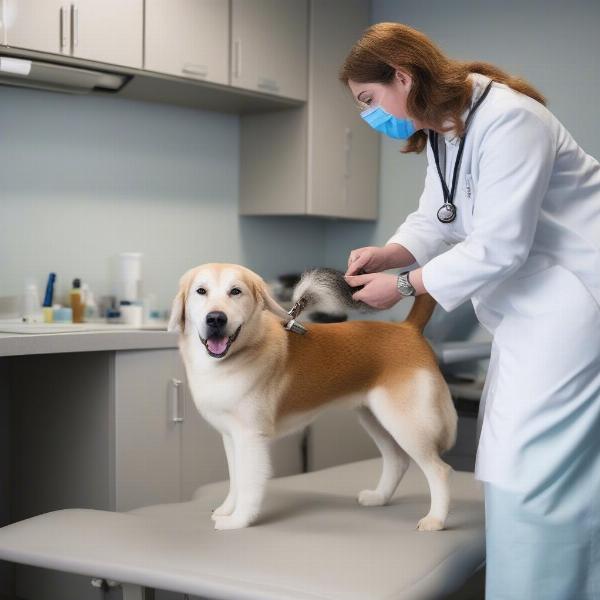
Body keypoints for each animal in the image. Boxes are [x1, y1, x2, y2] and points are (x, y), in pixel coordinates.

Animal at [166, 262, 458, 528]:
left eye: (235, 291)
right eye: (201, 291)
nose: (216, 318)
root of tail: (408, 328)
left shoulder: (250, 438)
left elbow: (248, 485)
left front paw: (239, 520)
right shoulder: (231, 437)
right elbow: (235, 481)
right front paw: (227, 509)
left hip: (406, 423)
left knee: (441, 471)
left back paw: (435, 520)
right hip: (375, 418)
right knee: (398, 461)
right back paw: (379, 497)